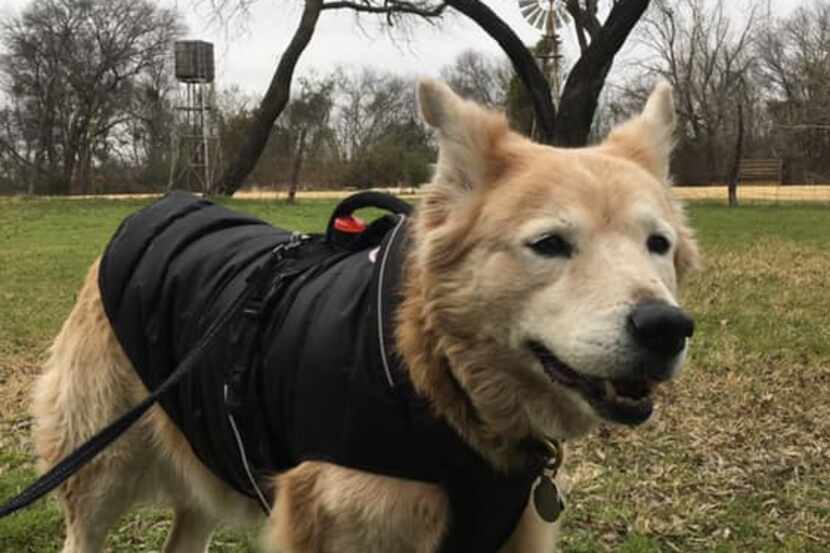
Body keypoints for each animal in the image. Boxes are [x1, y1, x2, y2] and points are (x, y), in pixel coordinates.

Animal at [30, 78, 696, 552]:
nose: (666, 328)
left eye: (657, 245)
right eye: (550, 244)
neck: (434, 377)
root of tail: (160, 205)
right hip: (100, 472)